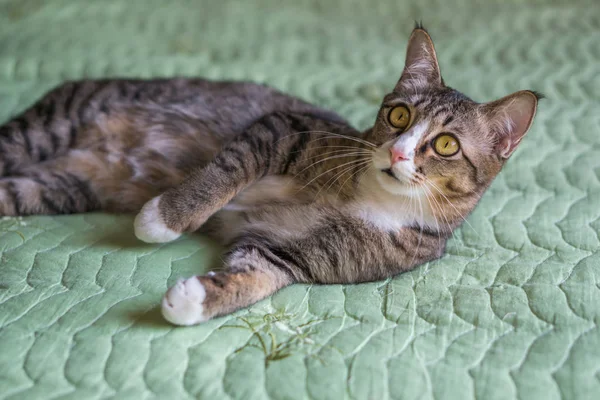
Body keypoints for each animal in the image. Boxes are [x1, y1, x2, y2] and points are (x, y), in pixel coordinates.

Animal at [0, 25, 540, 324]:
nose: (398, 153)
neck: (373, 200)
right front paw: (164, 219)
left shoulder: (290, 252)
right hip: (52, 125)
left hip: (60, 184)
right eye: (400, 115)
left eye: (446, 144)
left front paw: (193, 300)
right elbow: (222, 175)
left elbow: (256, 275)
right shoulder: (282, 130)